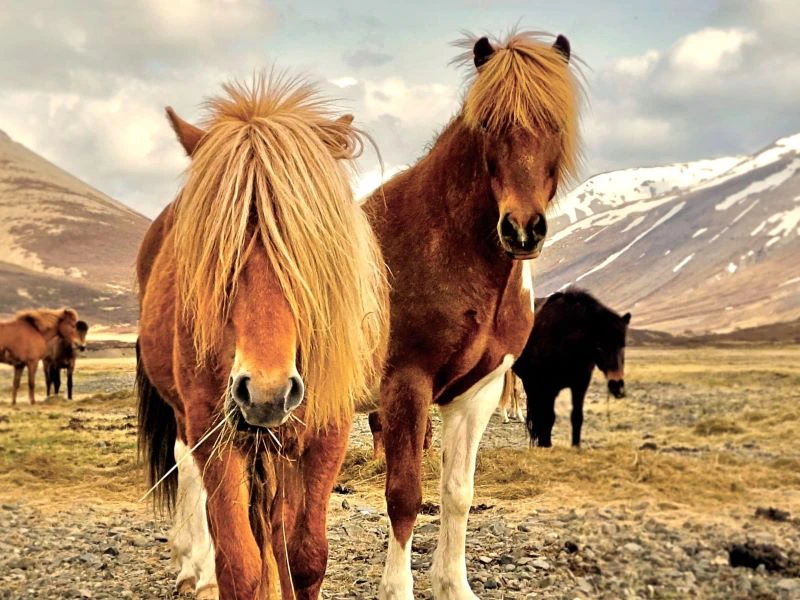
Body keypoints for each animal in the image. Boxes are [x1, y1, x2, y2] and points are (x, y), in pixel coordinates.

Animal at [135, 73, 388, 600]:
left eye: (310, 249)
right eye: (217, 252)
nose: (266, 392)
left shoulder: (326, 433)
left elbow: (306, 555)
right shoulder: (214, 434)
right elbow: (240, 563)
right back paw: (195, 567)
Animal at [363, 30, 584, 598]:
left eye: (556, 123)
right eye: (487, 125)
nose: (522, 230)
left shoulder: (476, 393)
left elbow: (457, 492)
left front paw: (453, 584)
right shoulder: (406, 385)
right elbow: (404, 495)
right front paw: (397, 588)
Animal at [513, 288, 631, 448]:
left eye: (622, 346)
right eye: (600, 347)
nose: (617, 385)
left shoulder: (580, 384)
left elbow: (576, 416)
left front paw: (576, 446)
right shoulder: (547, 387)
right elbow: (547, 417)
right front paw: (546, 445)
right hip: (530, 383)